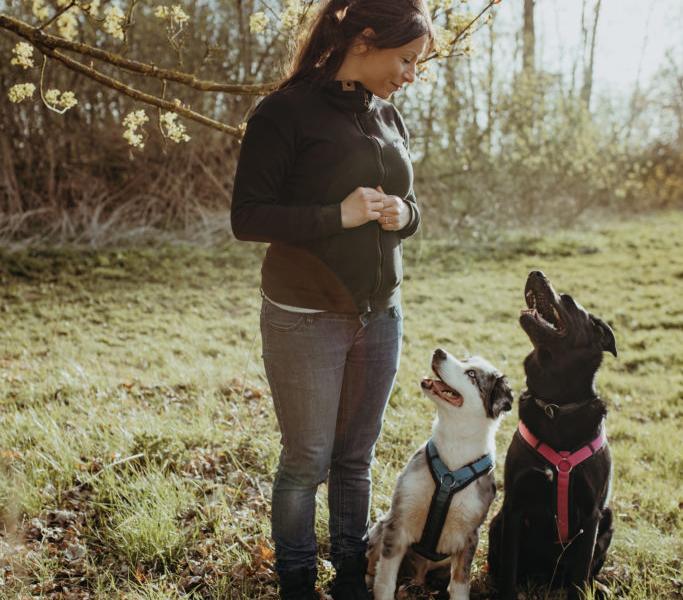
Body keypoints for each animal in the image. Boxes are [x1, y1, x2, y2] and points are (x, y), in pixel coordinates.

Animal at [488, 272, 616, 600]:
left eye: (567, 300)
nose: (535, 272)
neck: (556, 406)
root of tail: (547, 578)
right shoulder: (515, 507)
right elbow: (508, 570)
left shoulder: (591, 516)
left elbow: (580, 577)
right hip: (497, 522)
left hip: (608, 519)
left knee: (585, 573)